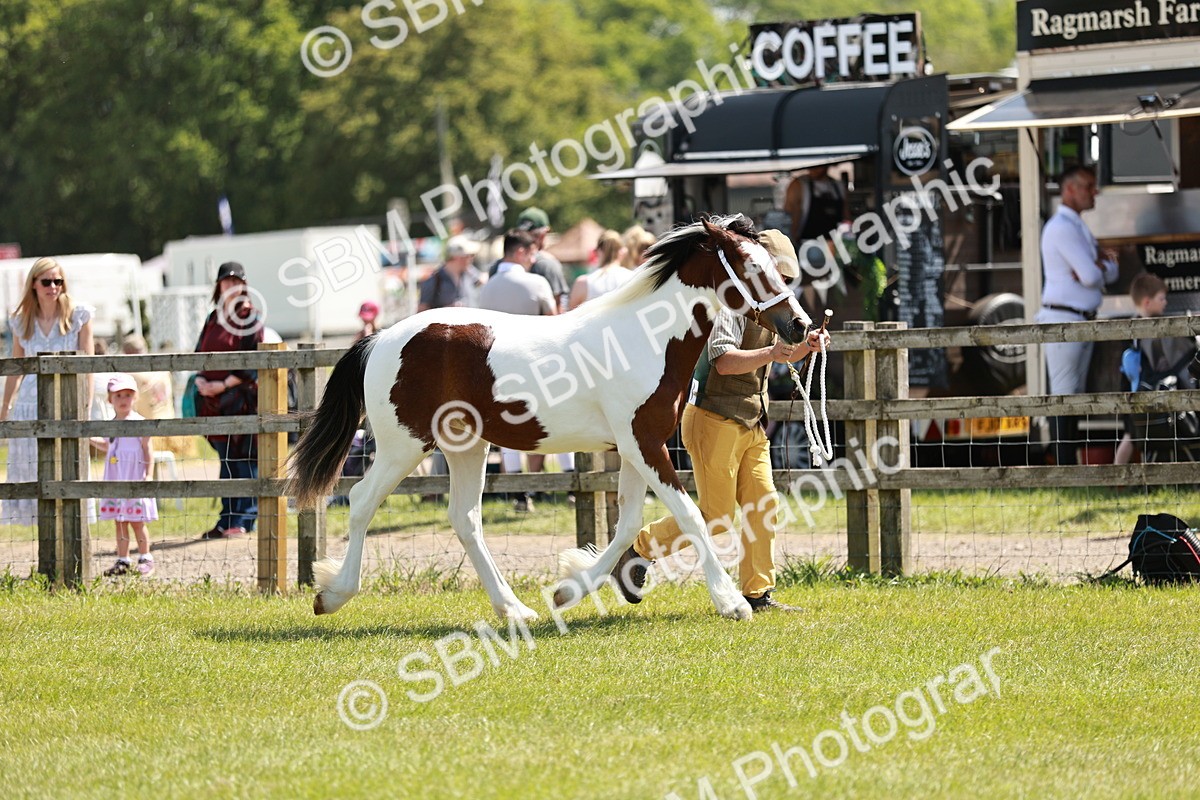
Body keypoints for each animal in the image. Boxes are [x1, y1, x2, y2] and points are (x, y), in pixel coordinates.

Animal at [288, 214, 814, 622]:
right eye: (752, 267)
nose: (801, 326)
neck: (645, 337)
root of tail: (380, 339)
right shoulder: (644, 444)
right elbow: (689, 515)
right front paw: (732, 603)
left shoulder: (634, 448)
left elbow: (627, 523)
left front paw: (569, 589)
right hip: (405, 445)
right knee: (361, 500)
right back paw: (332, 595)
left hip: (465, 445)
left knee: (465, 518)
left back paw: (515, 609)